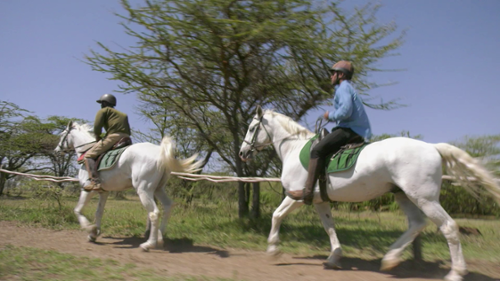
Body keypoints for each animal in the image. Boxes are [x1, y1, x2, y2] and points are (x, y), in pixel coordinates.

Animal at [54, 120, 201, 249]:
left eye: (62, 135)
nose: (56, 151)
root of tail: (160, 153)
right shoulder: (103, 192)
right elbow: (99, 212)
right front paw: (94, 233)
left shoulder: (87, 189)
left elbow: (78, 210)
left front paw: (90, 228)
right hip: (158, 189)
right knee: (168, 206)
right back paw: (159, 237)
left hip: (144, 190)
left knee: (154, 213)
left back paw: (149, 244)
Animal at [238, 105, 500, 280]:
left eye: (251, 128)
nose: (242, 153)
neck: (293, 148)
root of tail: (433, 147)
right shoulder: (320, 201)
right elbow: (329, 227)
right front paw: (334, 257)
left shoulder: (297, 196)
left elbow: (276, 215)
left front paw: (273, 250)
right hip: (404, 195)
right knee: (417, 224)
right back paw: (390, 259)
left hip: (424, 198)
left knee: (448, 227)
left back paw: (456, 272)